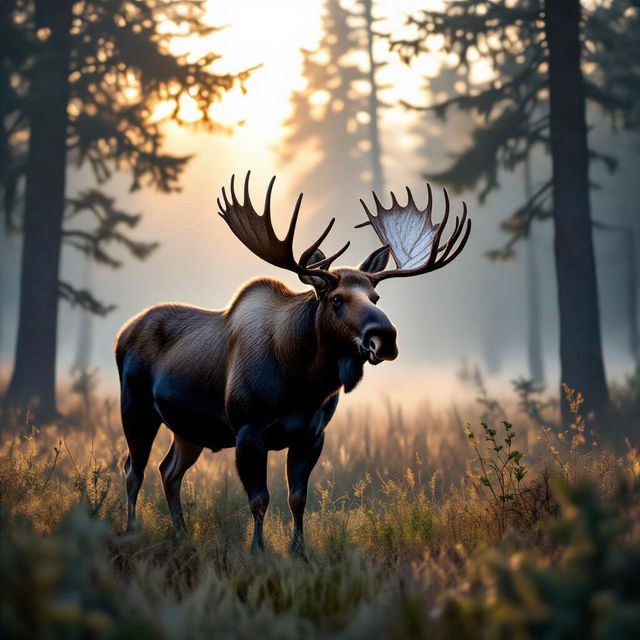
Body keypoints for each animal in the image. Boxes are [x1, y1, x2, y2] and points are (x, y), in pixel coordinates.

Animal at [115, 172, 470, 555]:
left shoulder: (312, 435)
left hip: (188, 428)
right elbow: (259, 499)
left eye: (375, 297)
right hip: (136, 409)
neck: (303, 384)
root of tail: (123, 332)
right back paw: (131, 531)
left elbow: (297, 498)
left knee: (169, 471)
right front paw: (258, 550)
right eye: (336, 298)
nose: (385, 336)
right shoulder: (248, 431)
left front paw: (298, 551)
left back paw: (182, 536)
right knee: (133, 470)